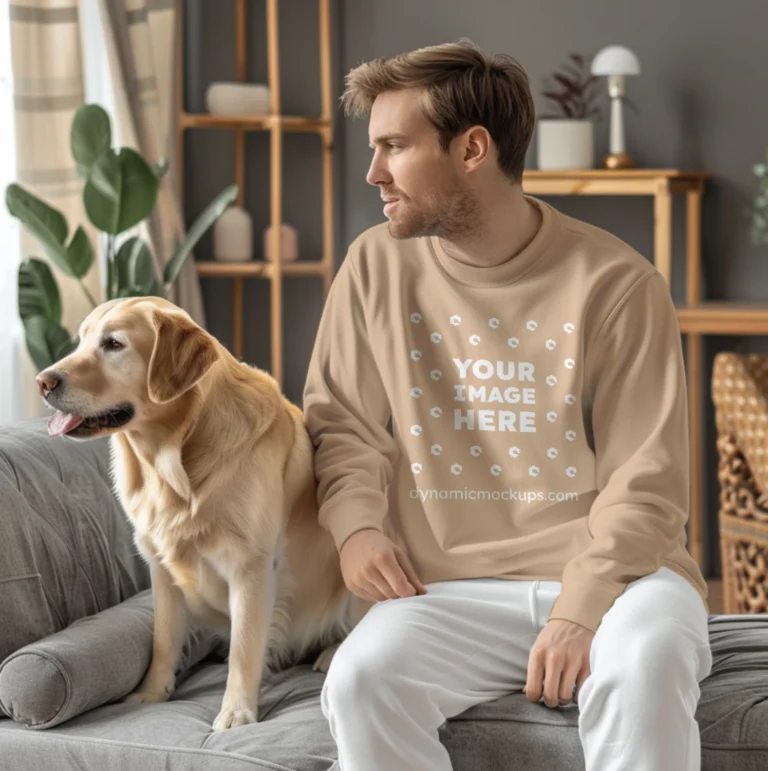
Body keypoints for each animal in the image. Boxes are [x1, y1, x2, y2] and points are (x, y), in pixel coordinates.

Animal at [37, 294, 368, 728]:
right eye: (81, 340)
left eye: (113, 344)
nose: (43, 382)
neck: (173, 459)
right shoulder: (161, 568)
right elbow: (163, 639)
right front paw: (152, 693)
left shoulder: (251, 567)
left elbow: (245, 647)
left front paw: (237, 711)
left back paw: (332, 652)